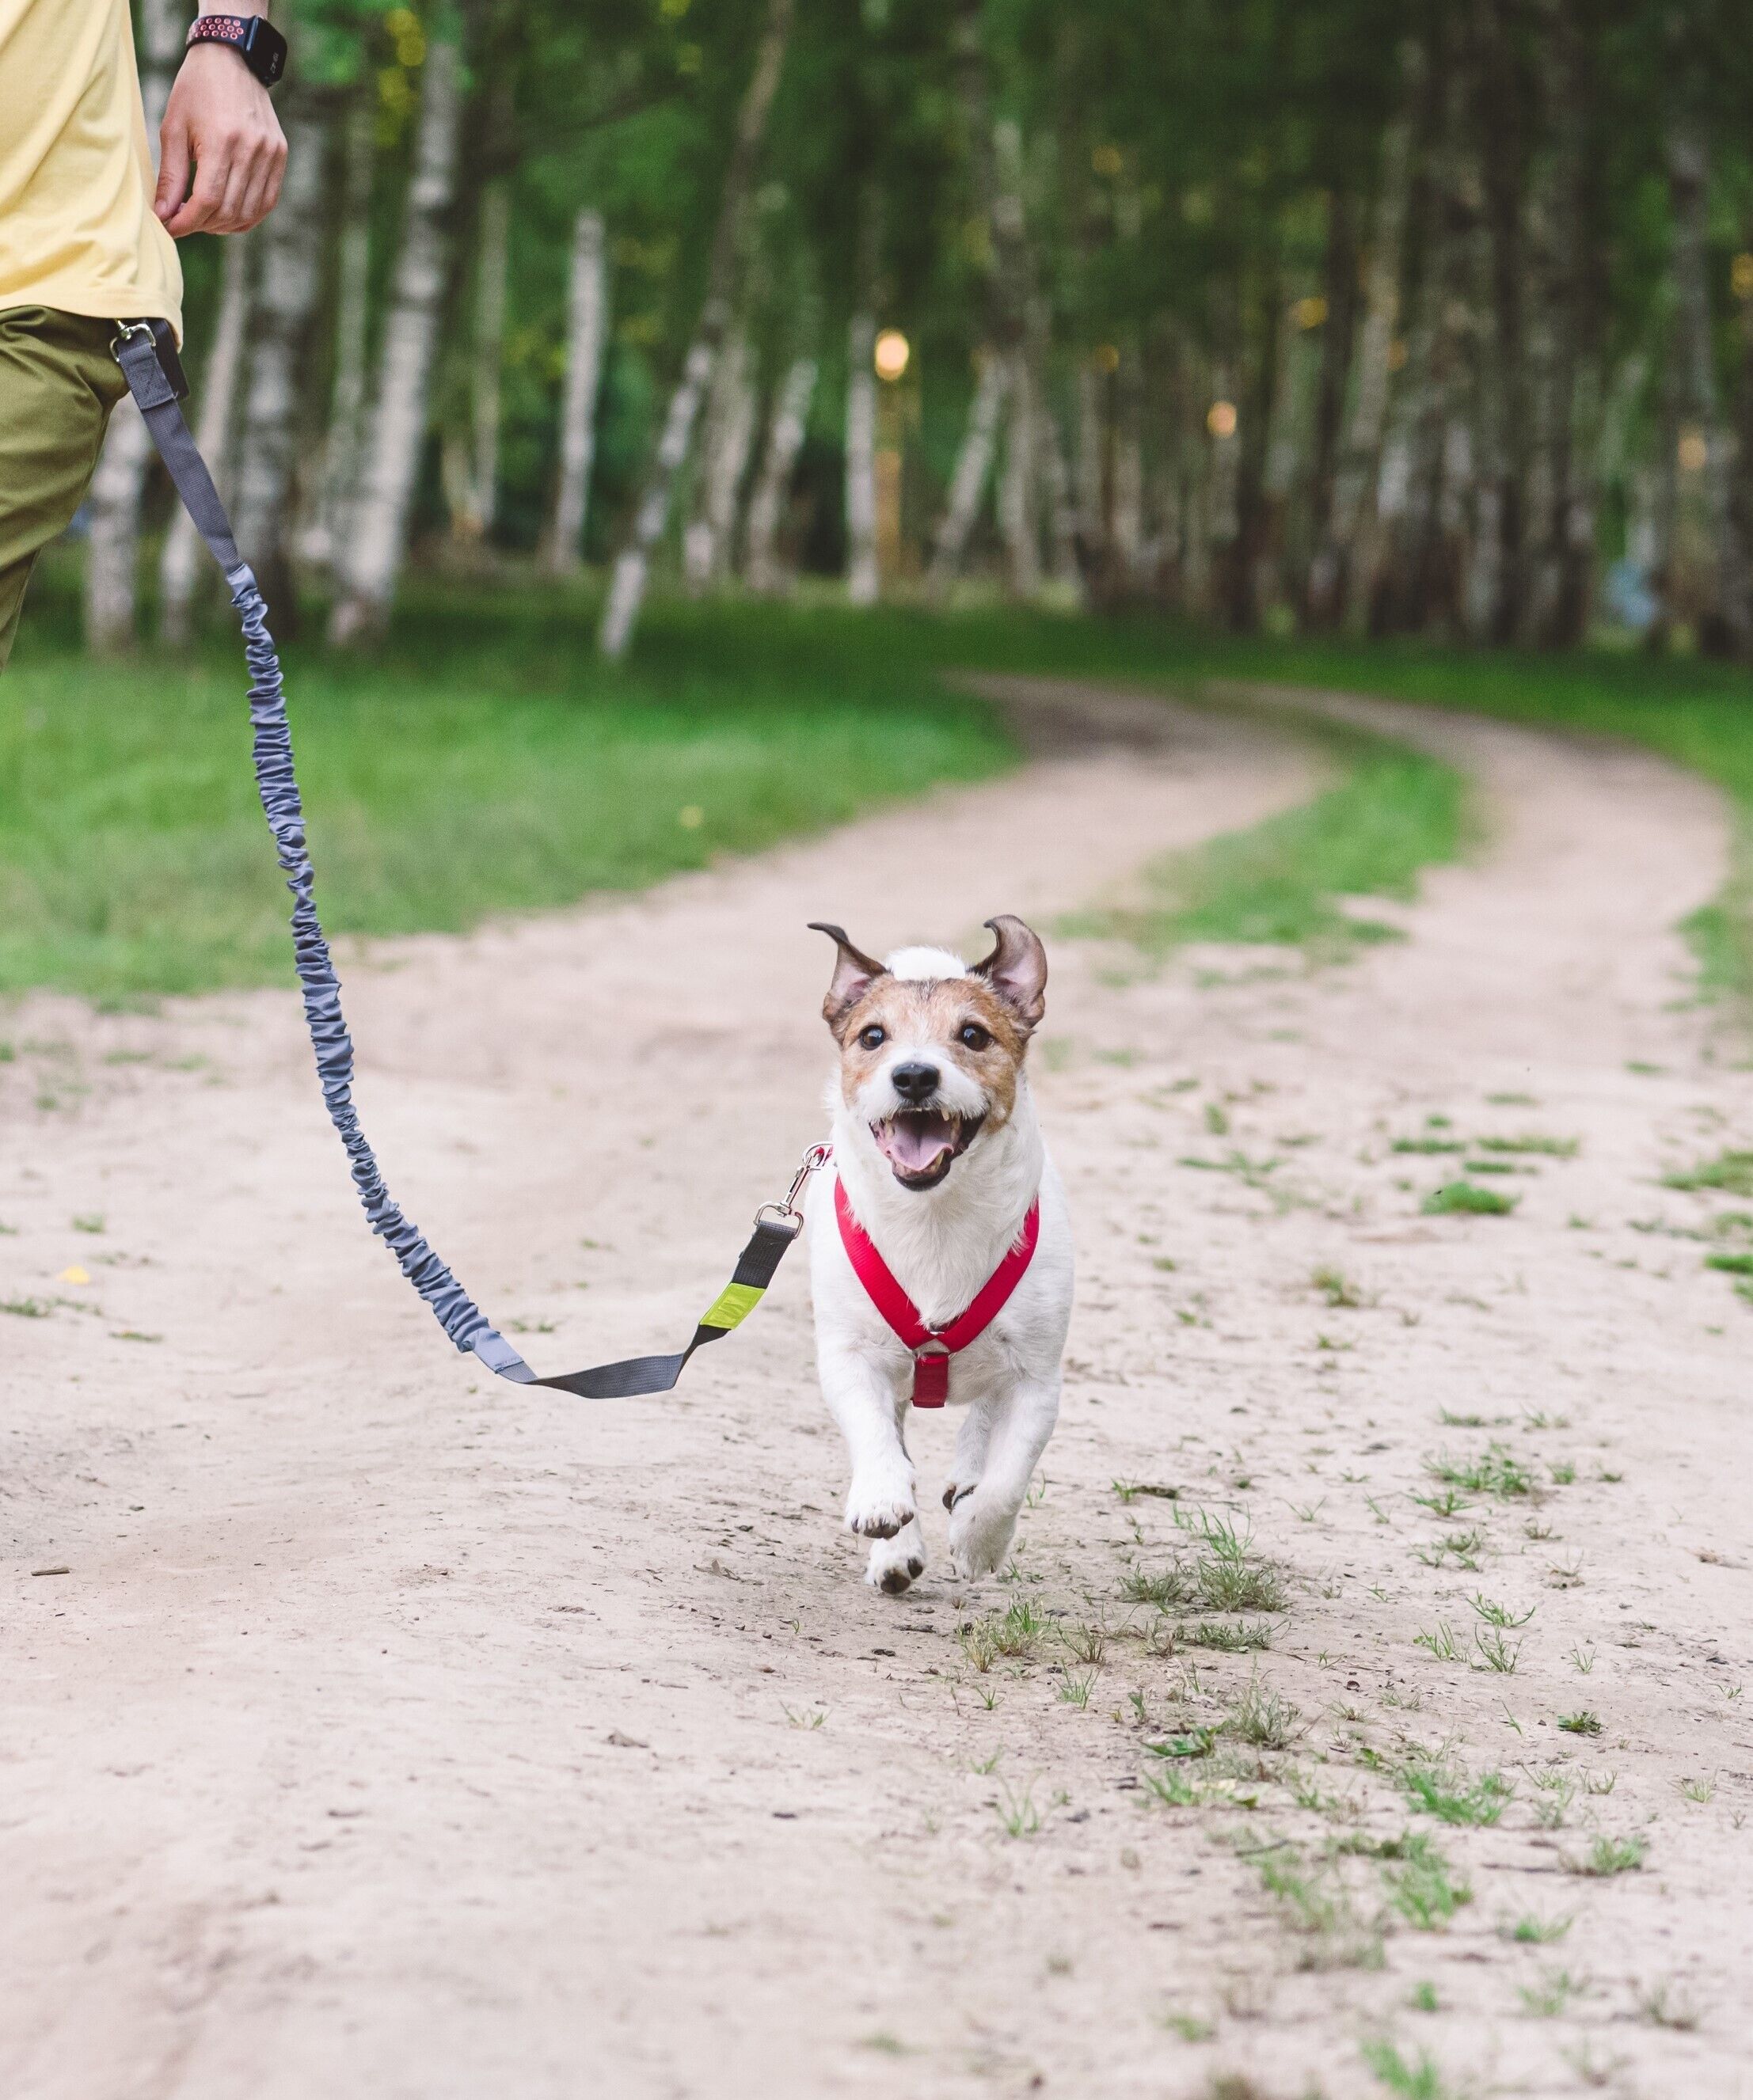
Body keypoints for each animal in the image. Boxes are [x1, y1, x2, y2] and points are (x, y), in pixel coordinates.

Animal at [806, 920, 1074, 1587]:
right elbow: (877, 1436)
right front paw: (883, 1502)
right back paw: (896, 1549)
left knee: (983, 1424)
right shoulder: (850, 1356)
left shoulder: (1037, 1380)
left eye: (973, 1034)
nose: (913, 1075)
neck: (935, 1217)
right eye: (873, 1036)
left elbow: (1007, 1480)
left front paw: (979, 1538)